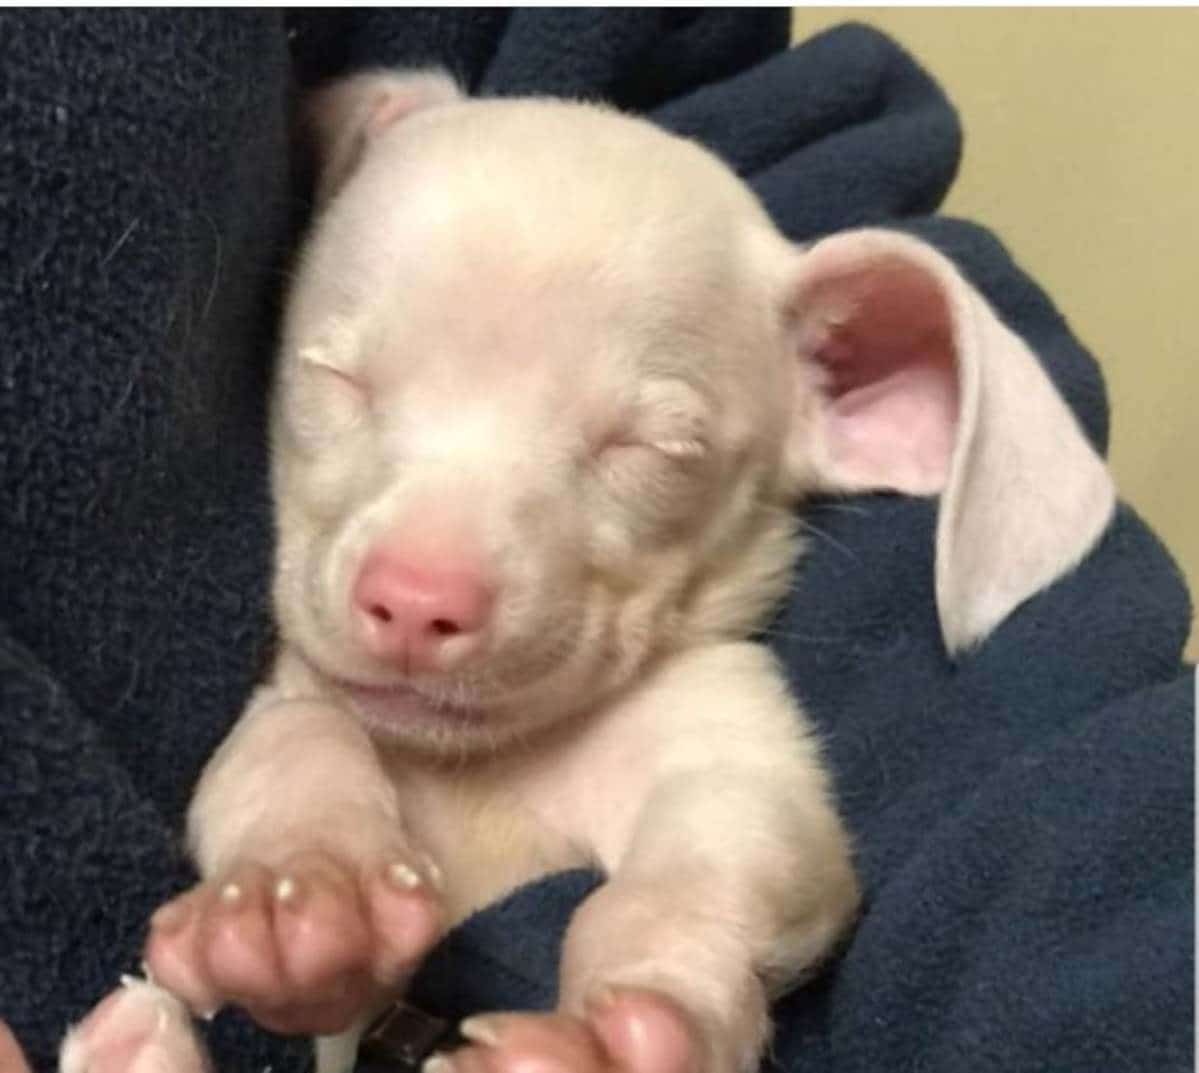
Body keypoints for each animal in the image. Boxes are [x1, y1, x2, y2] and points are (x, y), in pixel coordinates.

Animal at [59, 69, 1114, 1073]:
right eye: (333, 378)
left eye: (651, 448)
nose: (416, 603)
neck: (472, 774)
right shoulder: (291, 695)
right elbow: (291, 742)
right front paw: (301, 891)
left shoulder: (730, 750)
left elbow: (713, 864)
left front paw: (627, 1028)